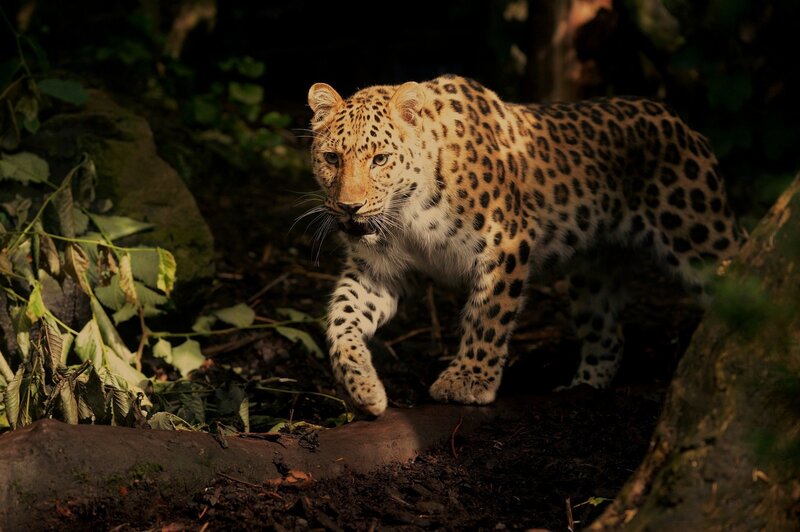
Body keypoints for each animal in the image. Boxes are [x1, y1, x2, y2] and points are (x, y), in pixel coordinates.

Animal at [304, 74, 741, 416]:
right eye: (332, 158)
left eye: (379, 159)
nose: (350, 207)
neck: (406, 214)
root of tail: (678, 119)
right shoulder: (377, 271)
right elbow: (341, 318)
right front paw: (362, 386)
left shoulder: (506, 242)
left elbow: (489, 315)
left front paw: (468, 381)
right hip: (591, 276)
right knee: (608, 337)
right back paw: (581, 390)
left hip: (701, 236)